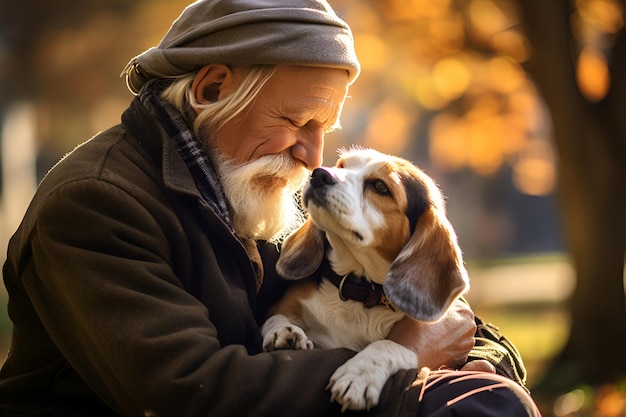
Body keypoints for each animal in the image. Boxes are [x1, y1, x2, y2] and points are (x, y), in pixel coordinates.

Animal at [258, 146, 468, 410]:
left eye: (380, 187)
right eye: (341, 166)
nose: (319, 174)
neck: (358, 289)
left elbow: (388, 346)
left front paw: (360, 374)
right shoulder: (283, 306)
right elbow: (276, 318)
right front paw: (284, 333)